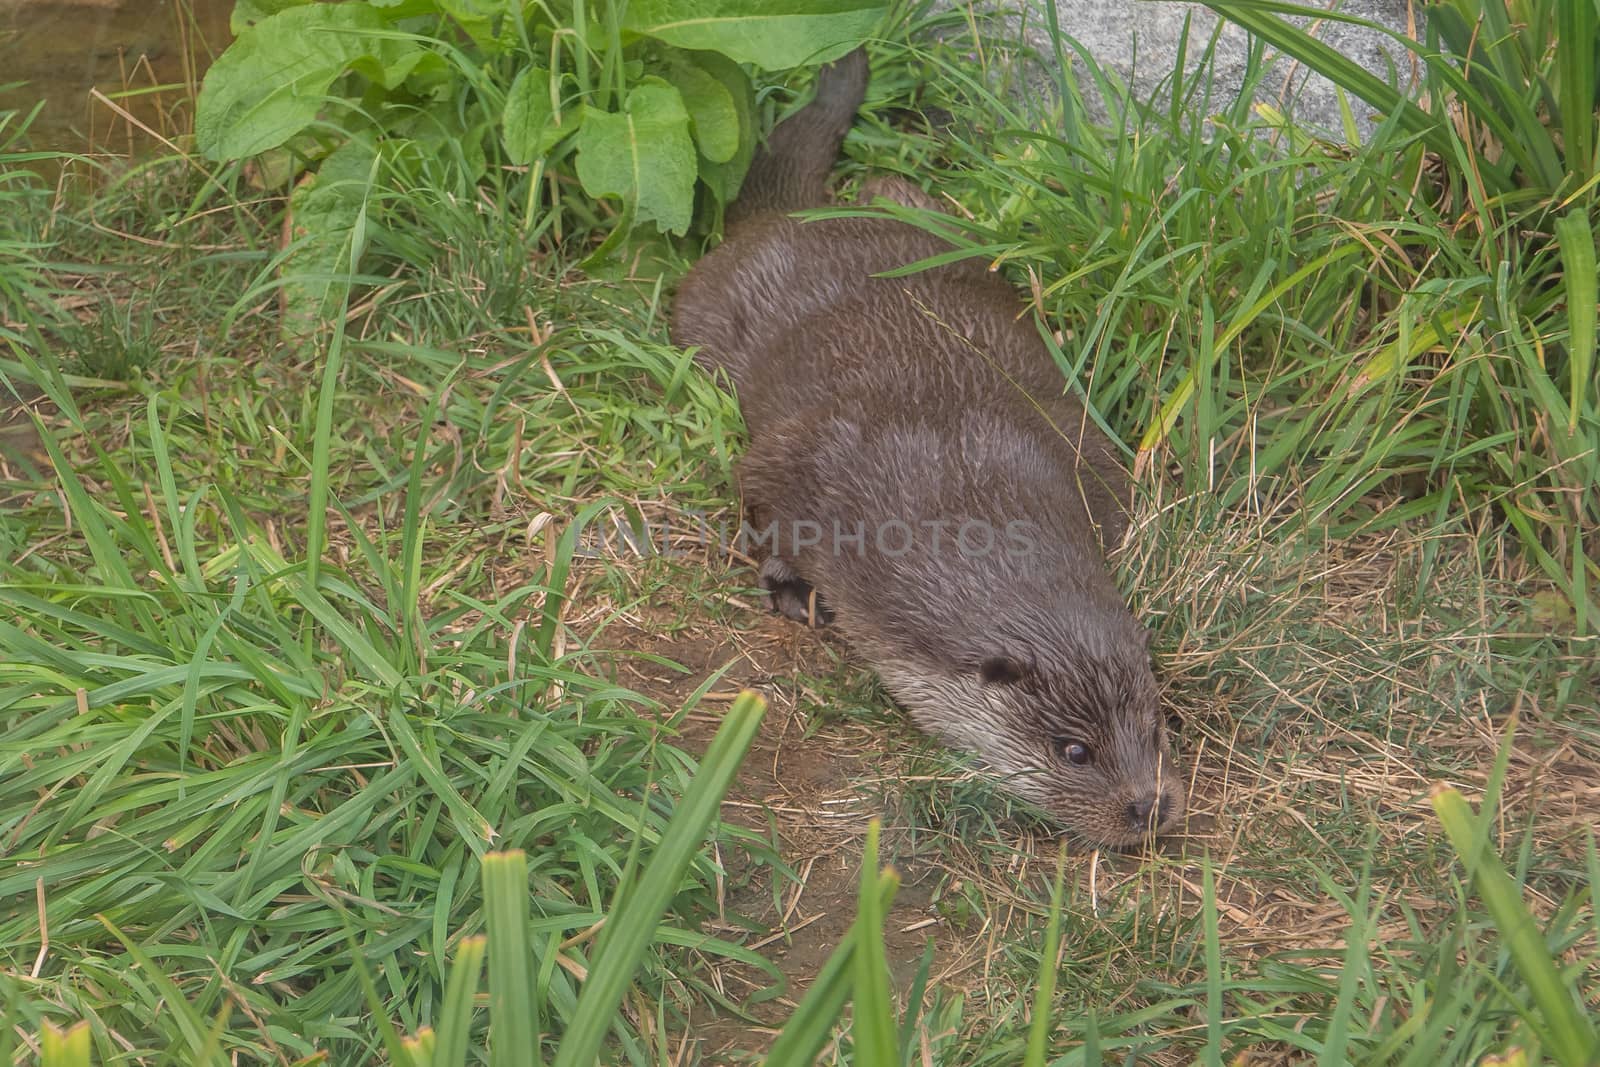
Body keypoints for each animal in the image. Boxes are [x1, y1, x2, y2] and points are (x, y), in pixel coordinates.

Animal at [668, 47, 1184, 851]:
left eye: (1158, 729)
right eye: (1074, 750)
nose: (1148, 807)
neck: (961, 485)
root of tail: (797, 214)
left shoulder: (1085, 455)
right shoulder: (806, 460)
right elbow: (757, 493)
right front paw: (790, 590)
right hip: (706, 309)